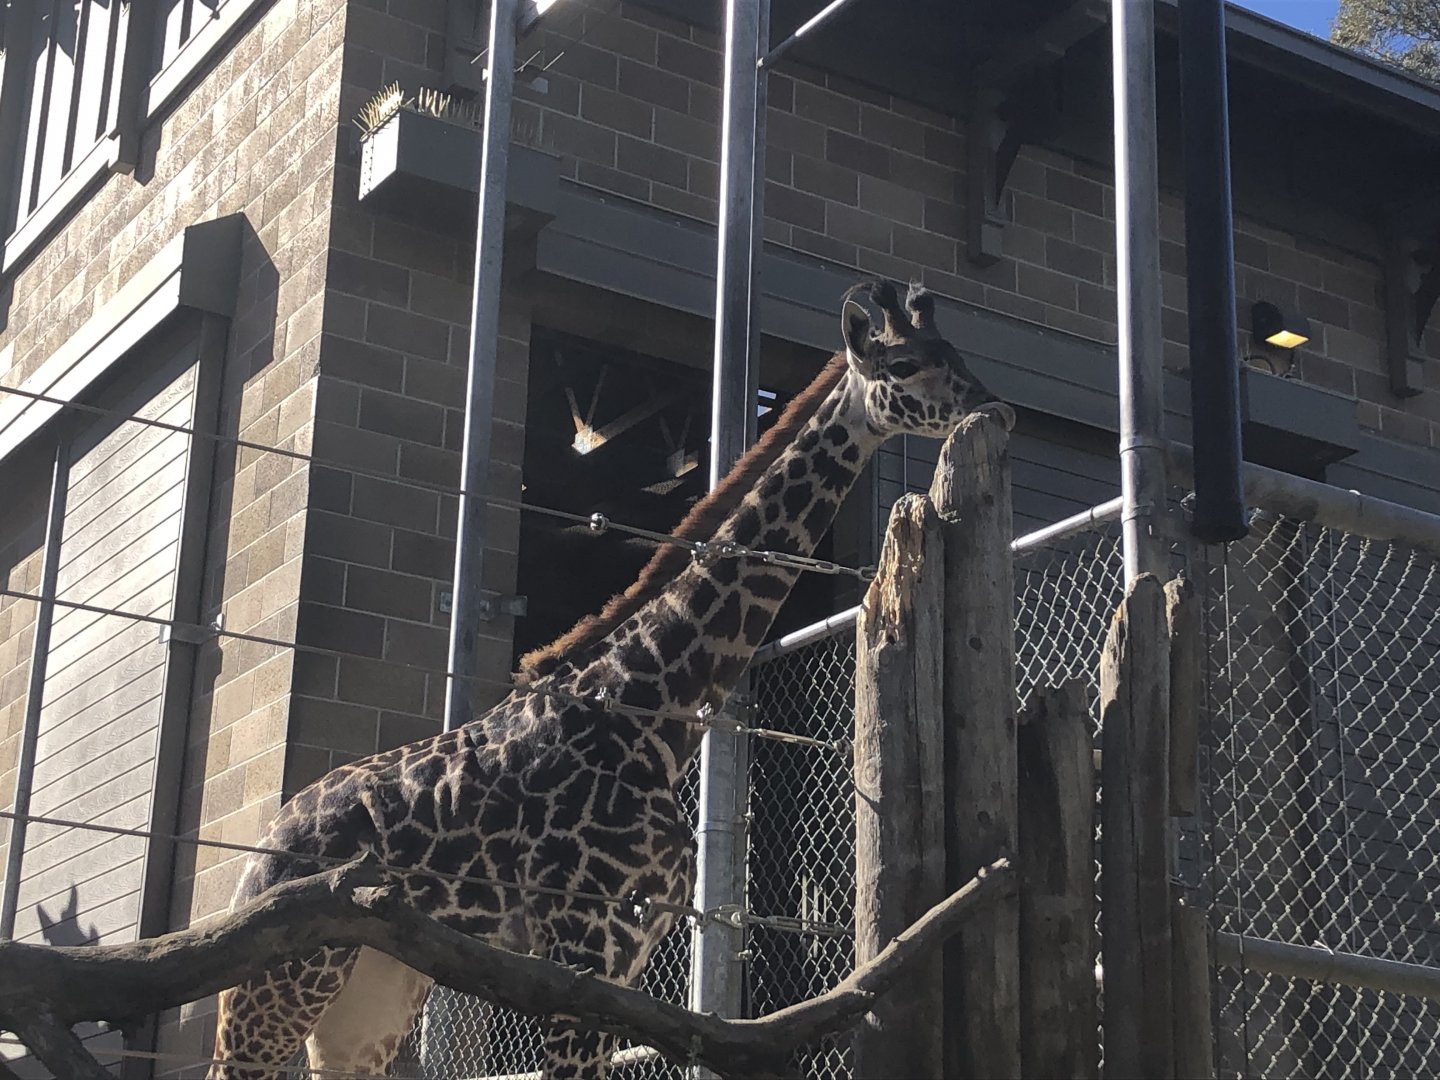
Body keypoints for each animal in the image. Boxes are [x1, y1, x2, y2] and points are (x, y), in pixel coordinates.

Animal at [207, 280, 1010, 1080]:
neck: (651, 706)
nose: (995, 406)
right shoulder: (581, 937)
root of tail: (263, 848)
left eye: (954, 350)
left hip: (371, 989)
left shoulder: (628, 948)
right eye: (903, 363)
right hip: (274, 984)